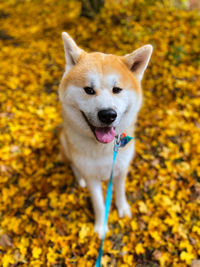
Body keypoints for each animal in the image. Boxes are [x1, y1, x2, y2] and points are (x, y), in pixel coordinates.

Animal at [58, 31, 152, 239]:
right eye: (89, 90)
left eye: (117, 89)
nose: (108, 114)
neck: (104, 150)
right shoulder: (93, 178)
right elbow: (100, 205)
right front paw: (101, 227)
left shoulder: (121, 169)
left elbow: (120, 192)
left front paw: (122, 208)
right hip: (65, 142)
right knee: (73, 164)